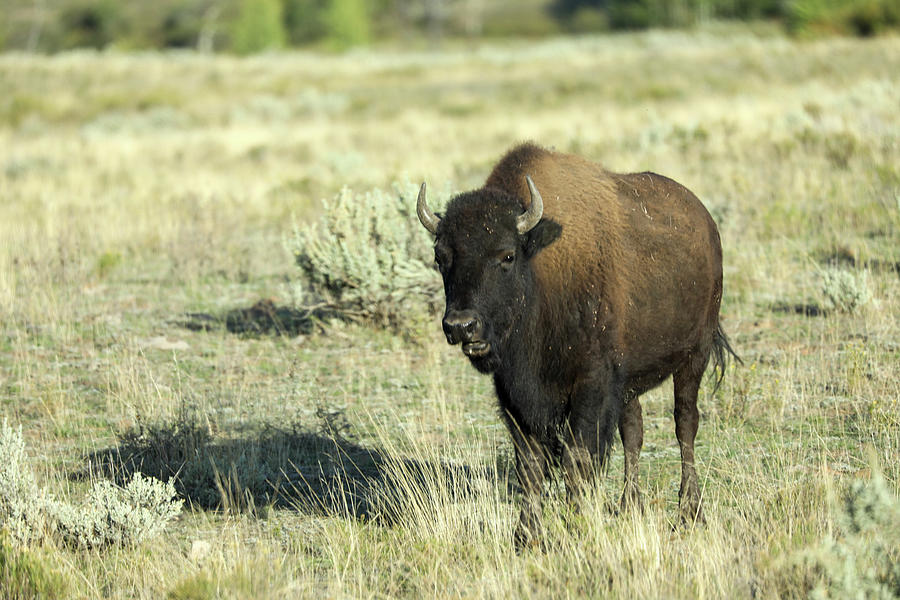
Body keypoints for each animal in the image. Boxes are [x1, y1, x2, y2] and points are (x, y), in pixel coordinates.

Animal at [416, 143, 740, 548]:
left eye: (507, 255)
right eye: (440, 257)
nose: (461, 326)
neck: (540, 269)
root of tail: (705, 221)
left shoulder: (590, 386)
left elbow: (577, 458)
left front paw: (576, 528)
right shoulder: (515, 395)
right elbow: (530, 464)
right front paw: (526, 536)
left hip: (694, 357)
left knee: (685, 425)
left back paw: (689, 511)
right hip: (630, 380)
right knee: (633, 432)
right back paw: (630, 506)